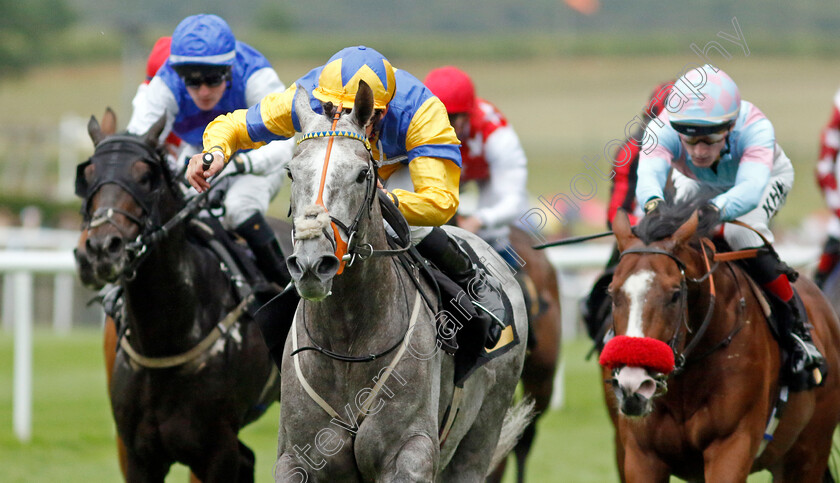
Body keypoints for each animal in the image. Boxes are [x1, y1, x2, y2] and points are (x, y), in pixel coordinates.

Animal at [75, 110, 278, 483]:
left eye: (145, 178)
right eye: (89, 175)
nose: (100, 249)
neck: (166, 339)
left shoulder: (216, 452)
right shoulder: (136, 455)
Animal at [272, 81, 528, 482]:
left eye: (362, 174)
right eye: (291, 173)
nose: (313, 263)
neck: (347, 340)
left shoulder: (410, 452)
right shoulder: (296, 457)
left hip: (481, 433)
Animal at [600, 202, 840, 482]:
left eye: (675, 294)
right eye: (612, 292)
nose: (633, 383)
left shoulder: (731, 445)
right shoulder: (641, 456)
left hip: (807, 454)